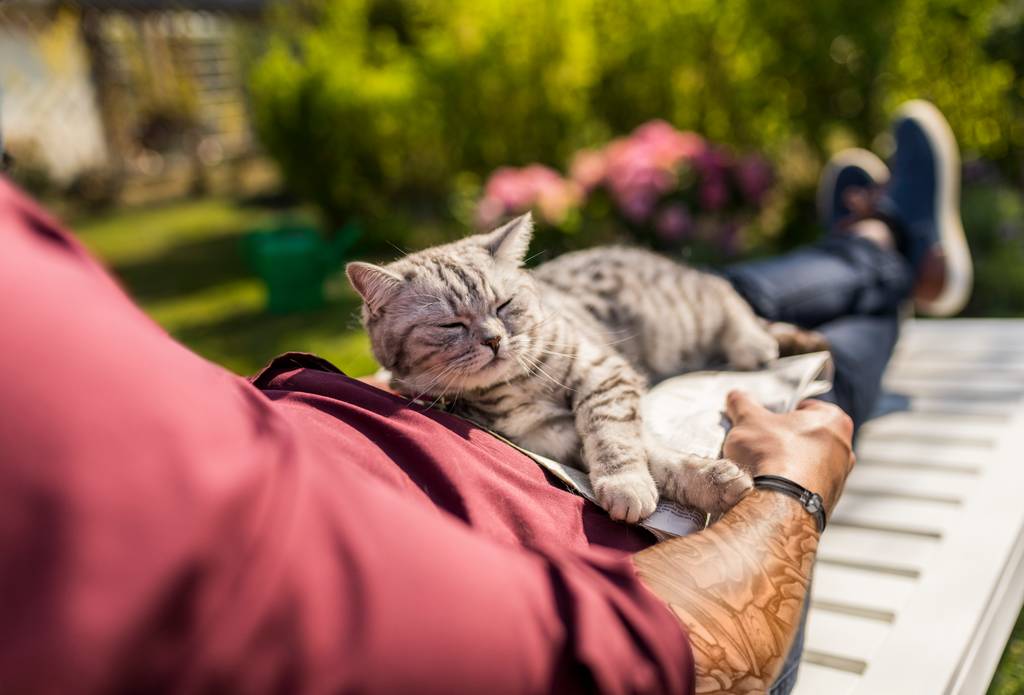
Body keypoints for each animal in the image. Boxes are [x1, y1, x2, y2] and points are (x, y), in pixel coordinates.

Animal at [348, 214, 819, 524]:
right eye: (451, 326)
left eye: (504, 305)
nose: (494, 339)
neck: (515, 386)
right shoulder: (552, 437)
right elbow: (650, 454)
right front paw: (695, 482)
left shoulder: (603, 373)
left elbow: (613, 434)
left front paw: (632, 481)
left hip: (687, 310)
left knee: (726, 293)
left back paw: (756, 342)